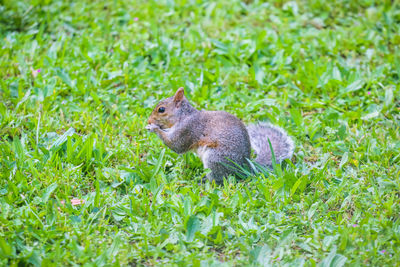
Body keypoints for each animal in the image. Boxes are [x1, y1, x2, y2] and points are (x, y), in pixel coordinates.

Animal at [145, 88, 294, 184]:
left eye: (161, 109)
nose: (148, 120)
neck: (184, 116)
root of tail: (244, 168)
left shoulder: (188, 129)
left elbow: (176, 145)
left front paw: (153, 128)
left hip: (215, 158)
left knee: (219, 179)